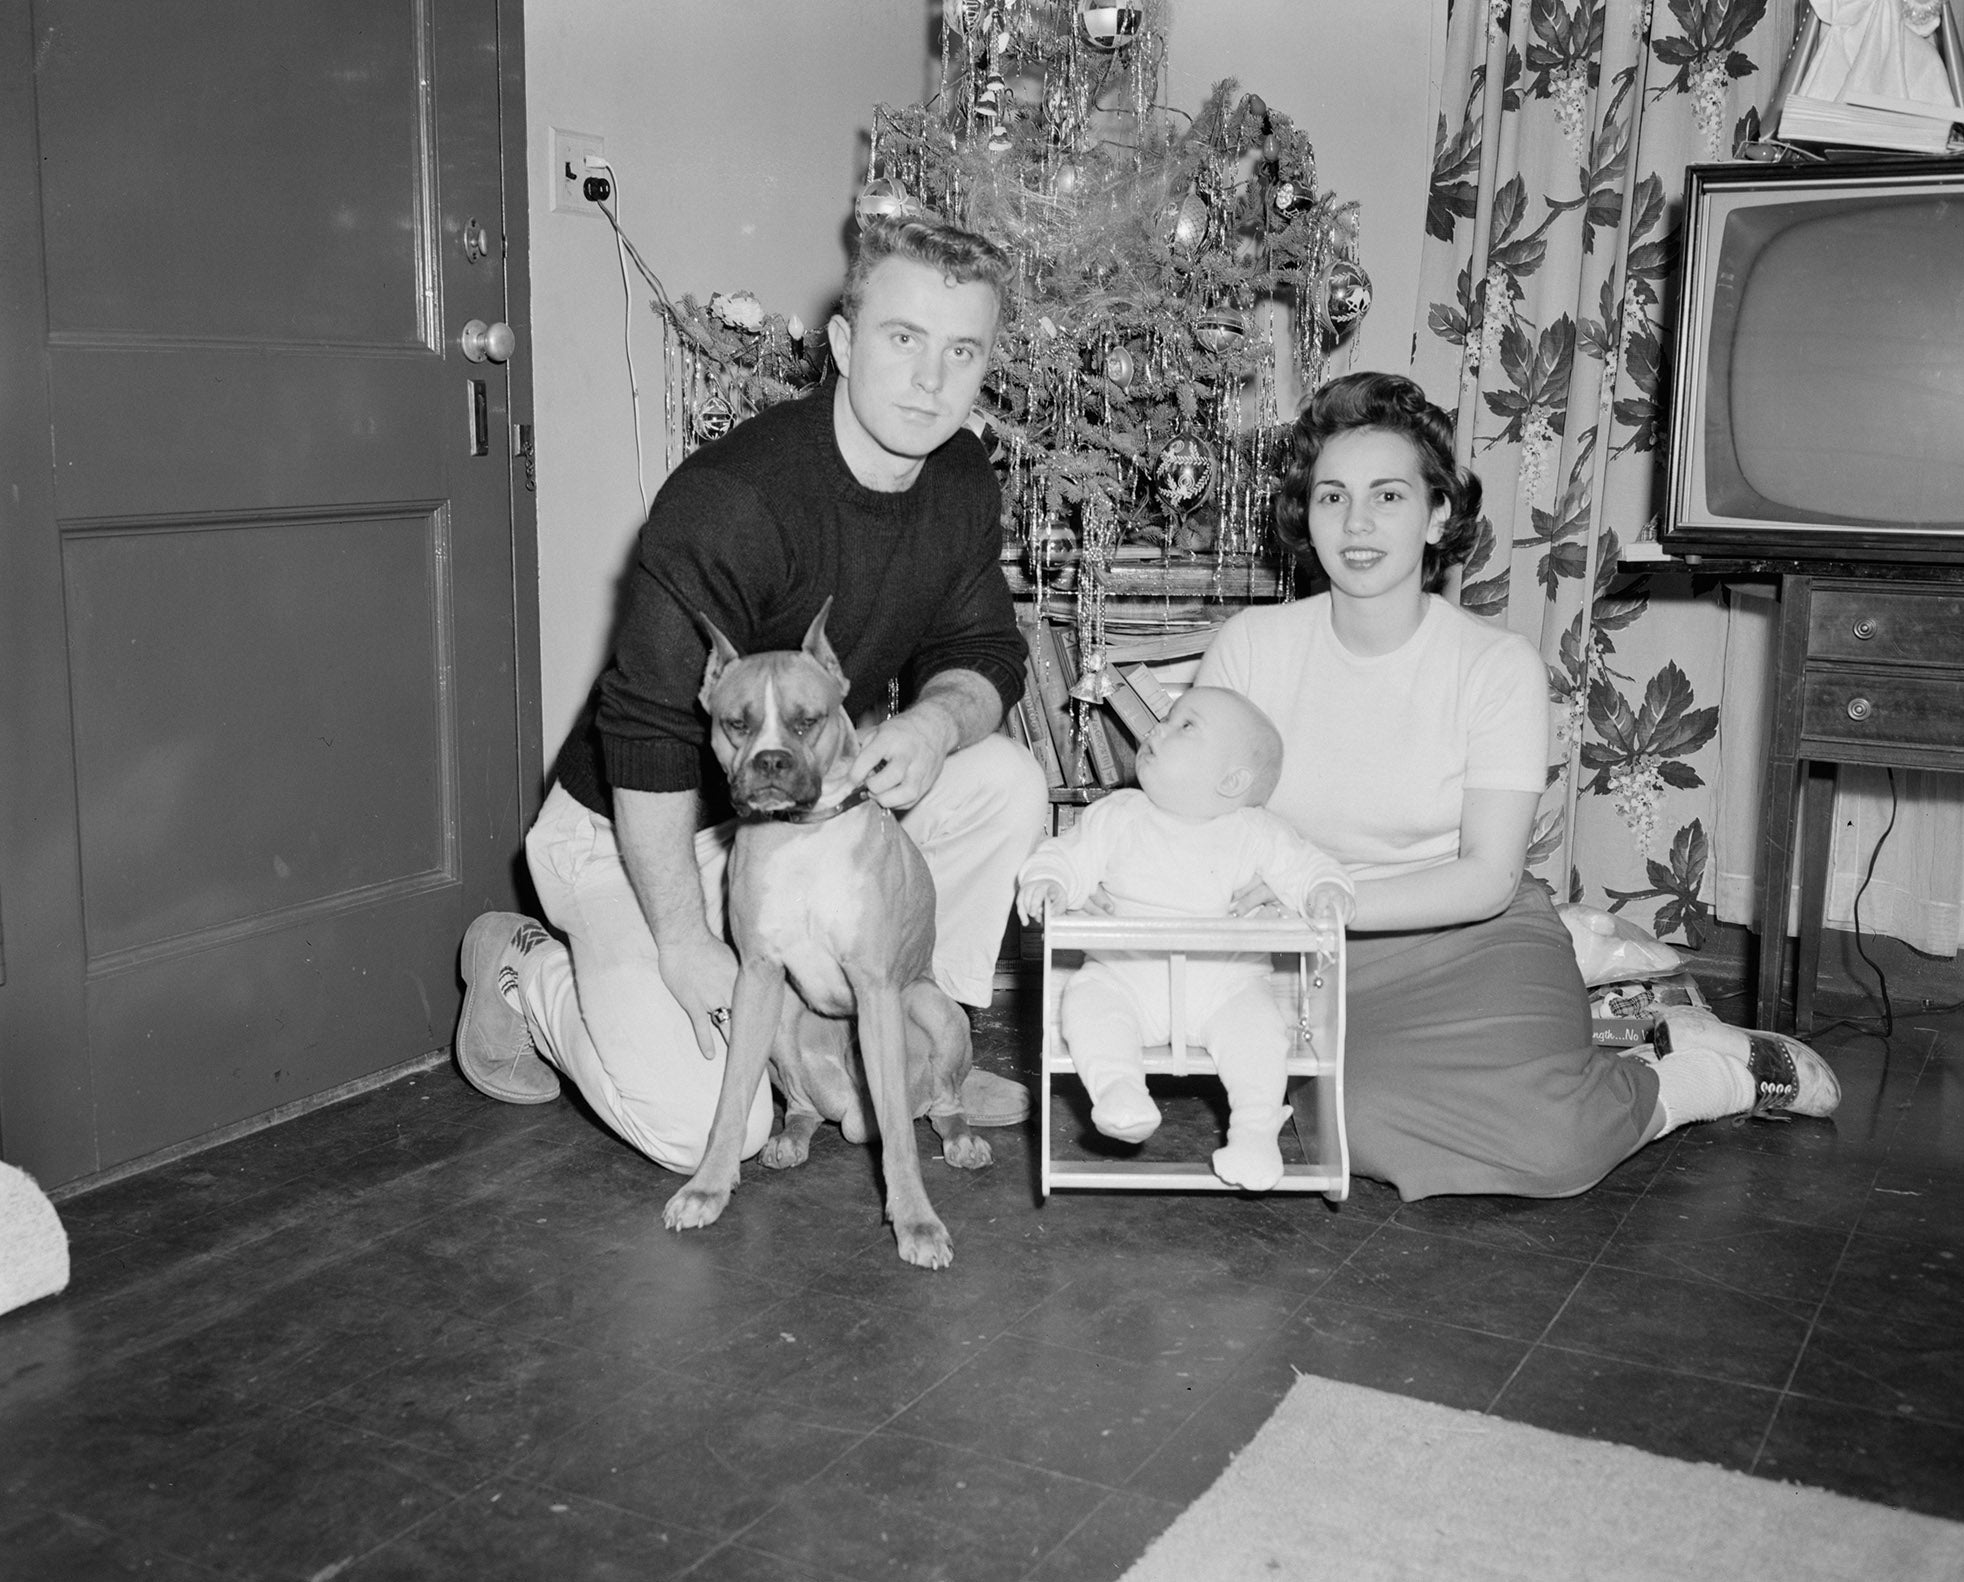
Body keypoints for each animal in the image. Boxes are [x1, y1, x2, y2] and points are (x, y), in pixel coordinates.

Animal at [663, 597, 997, 1265]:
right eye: (736, 724)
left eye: (806, 722)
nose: (770, 762)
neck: (803, 835)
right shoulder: (757, 980)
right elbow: (730, 1102)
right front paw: (707, 1188)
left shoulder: (876, 990)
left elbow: (897, 1134)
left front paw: (915, 1221)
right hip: (785, 1020)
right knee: (800, 1108)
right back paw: (790, 1138)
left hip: (932, 1007)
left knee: (940, 1105)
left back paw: (962, 1139)